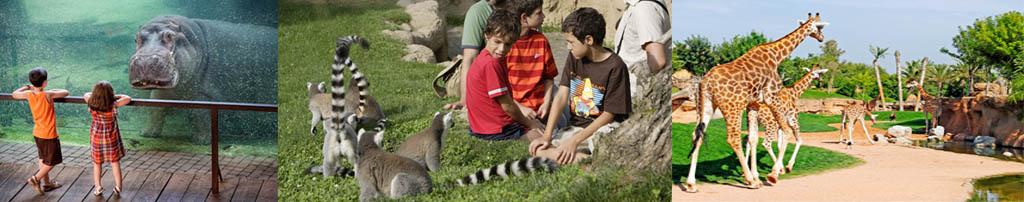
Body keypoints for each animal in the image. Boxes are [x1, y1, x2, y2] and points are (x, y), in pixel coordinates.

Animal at [684, 13, 827, 192]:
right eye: (820, 27)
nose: (821, 38)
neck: (776, 56)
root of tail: (706, 81)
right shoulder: (772, 97)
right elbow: (786, 132)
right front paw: (773, 174)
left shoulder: (754, 104)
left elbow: (753, 138)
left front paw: (760, 175)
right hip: (734, 107)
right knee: (733, 138)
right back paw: (751, 181)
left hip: (706, 107)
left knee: (697, 135)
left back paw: (691, 183)